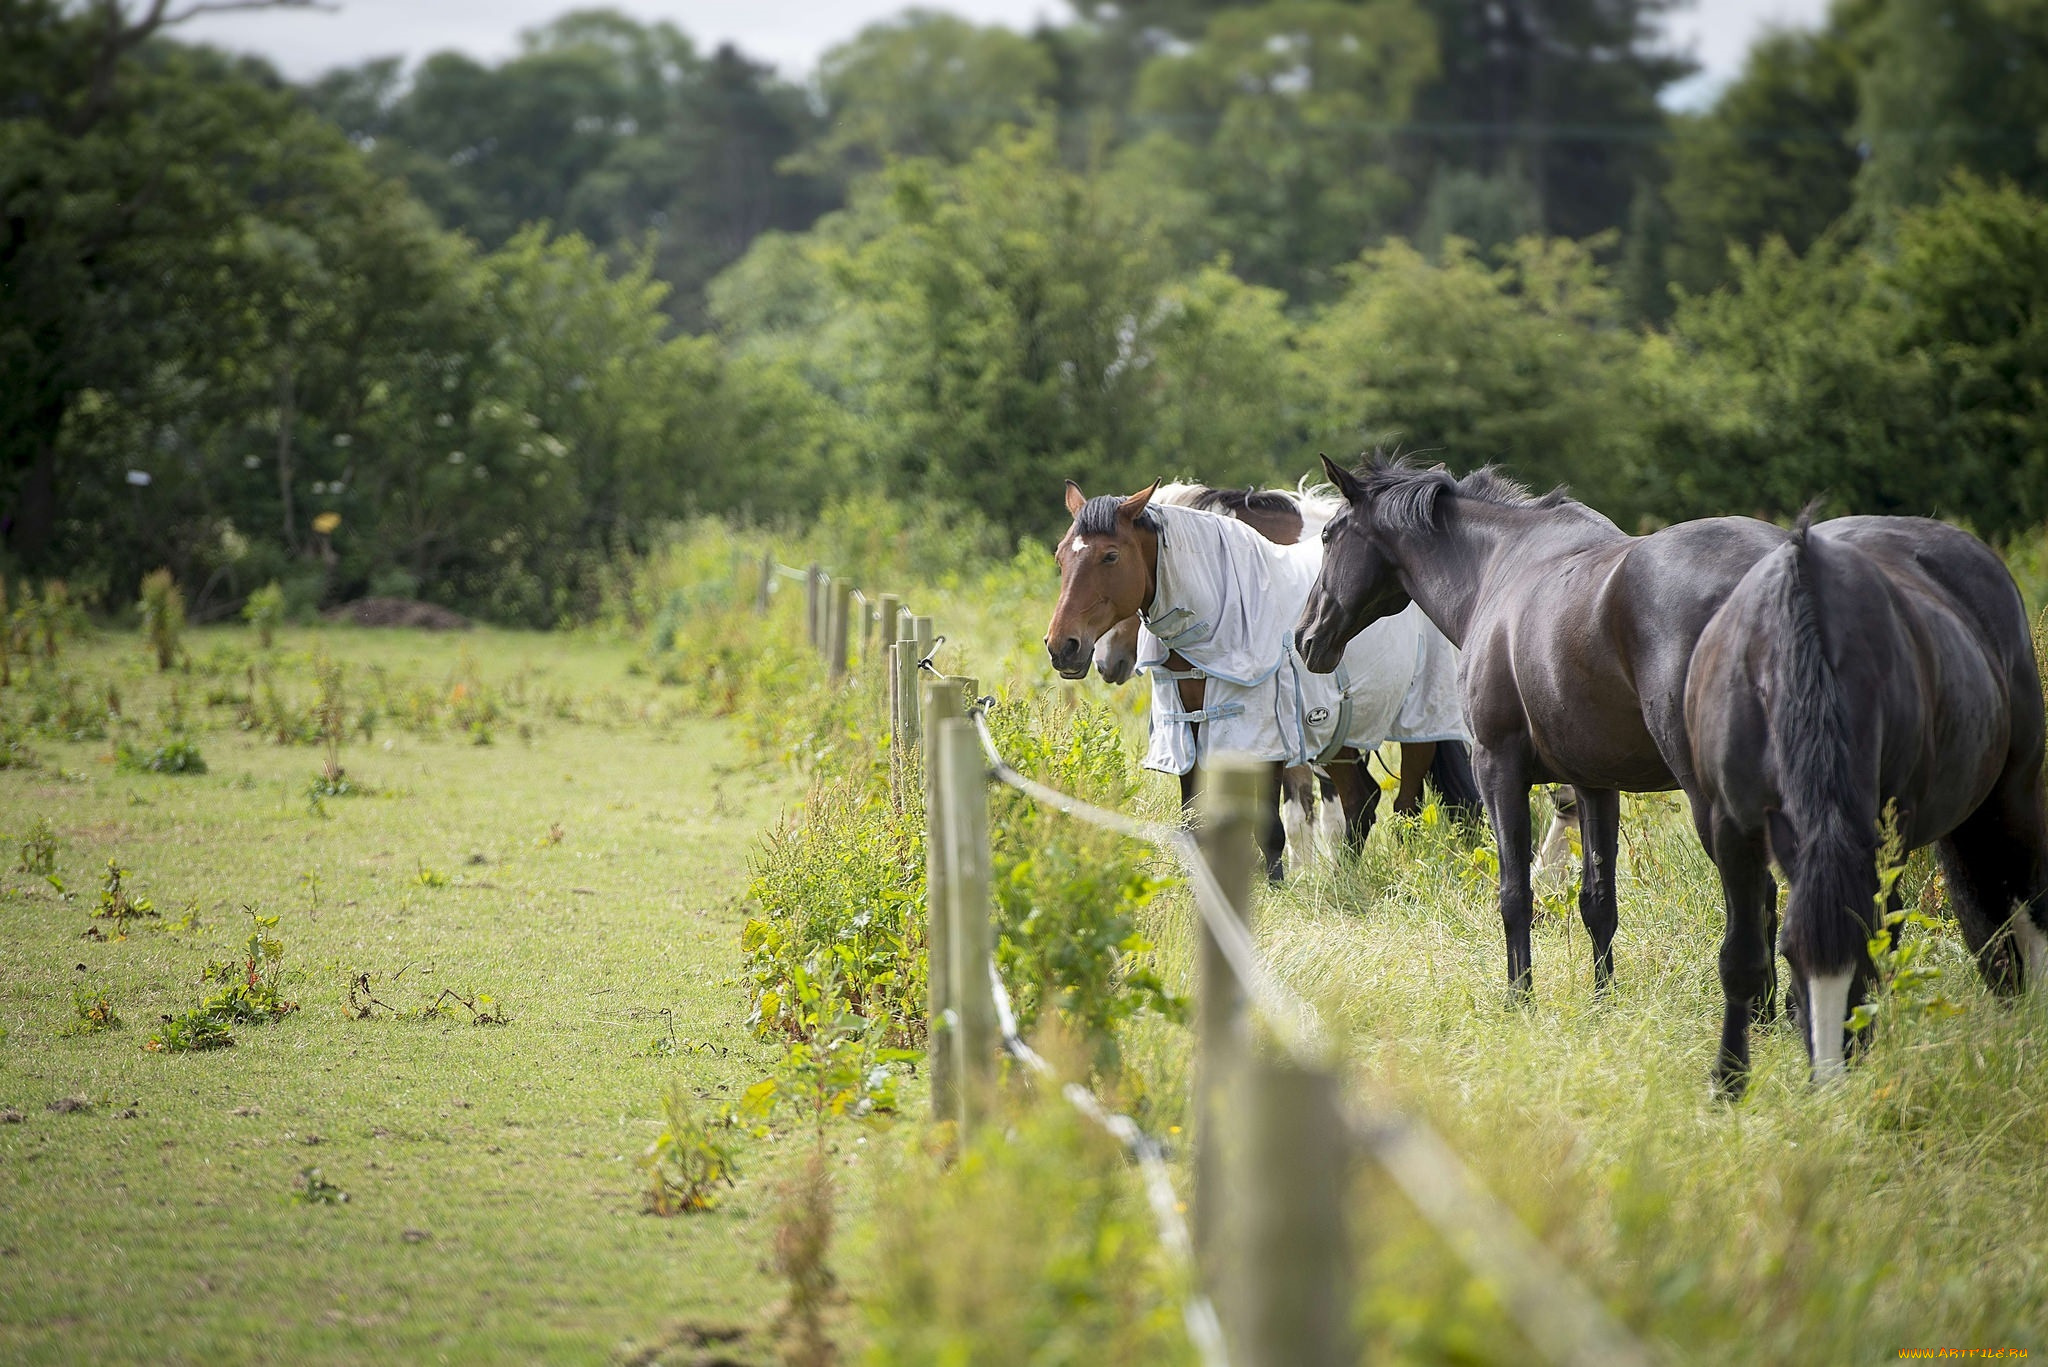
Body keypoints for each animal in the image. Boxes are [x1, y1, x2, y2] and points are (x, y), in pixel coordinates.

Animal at [1679, 512, 2048, 1090]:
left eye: (1861, 958)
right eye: (1790, 952)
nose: (1831, 1081)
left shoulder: (1887, 829)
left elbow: (1889, 937)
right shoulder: (1731, 826)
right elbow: (1742, 958)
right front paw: (1729, 1083)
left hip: (2014, 795)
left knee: (2027, 906)